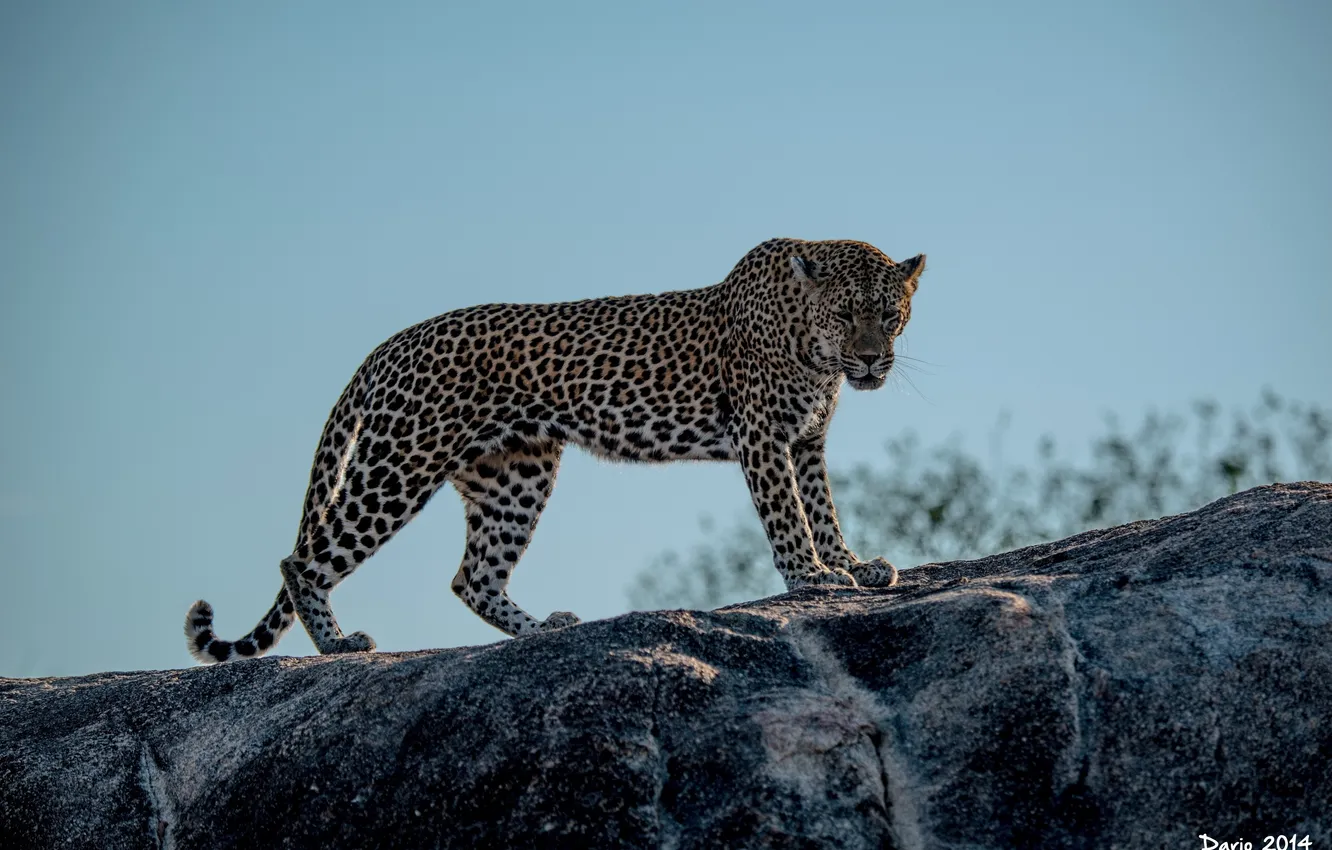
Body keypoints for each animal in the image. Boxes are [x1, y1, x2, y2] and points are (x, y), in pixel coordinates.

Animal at [185, 237, 925, 663]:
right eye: (845, 315)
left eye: (890, 317)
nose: (871, 361)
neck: (813, 351)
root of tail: (389, 345)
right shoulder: (765, 435)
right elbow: (789, 517)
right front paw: (813, 578)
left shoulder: (806, 440)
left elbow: (823, 510)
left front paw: (854, 566)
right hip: (399, 463)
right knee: (302, 560)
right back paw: (338, 644)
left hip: (515, 476)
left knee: (473, 576)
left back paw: (543, 629)